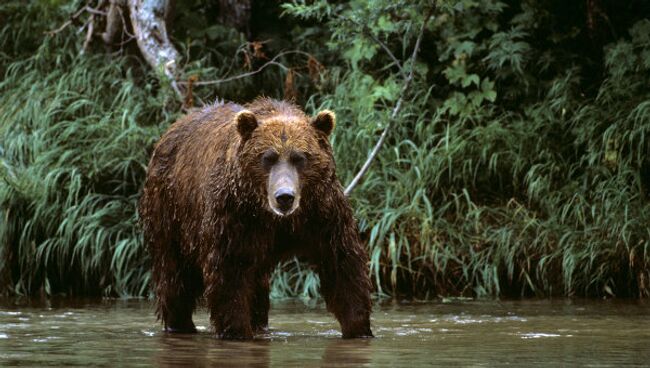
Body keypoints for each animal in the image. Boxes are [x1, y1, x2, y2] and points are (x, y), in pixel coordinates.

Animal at [139, 97, 372, 340]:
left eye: (300, 158)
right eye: (268, 157)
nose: (284, 197)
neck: (274, 218)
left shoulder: (321, 213)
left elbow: (342, 264)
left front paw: (358, 327)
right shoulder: (235, 216)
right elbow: (229, 273)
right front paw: (236, 331)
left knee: (257, 287)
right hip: (171, 213)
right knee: (175, 277)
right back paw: (180, 324)